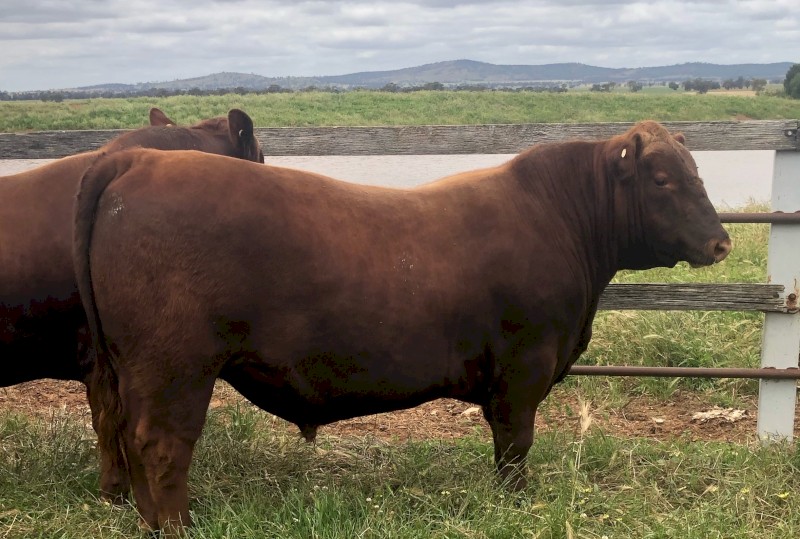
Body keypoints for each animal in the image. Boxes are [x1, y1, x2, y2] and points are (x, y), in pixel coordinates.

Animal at [74, 121, 731, 534]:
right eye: (663, 179)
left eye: (697, 171)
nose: (721, 242)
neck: (559, 217)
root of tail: (136, 159)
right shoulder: (523, 366)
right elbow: (515, 445)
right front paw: (515, 504)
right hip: (174, 367)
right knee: (161, 445)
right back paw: (179, 526)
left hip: (132, 369)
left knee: (127, 436)